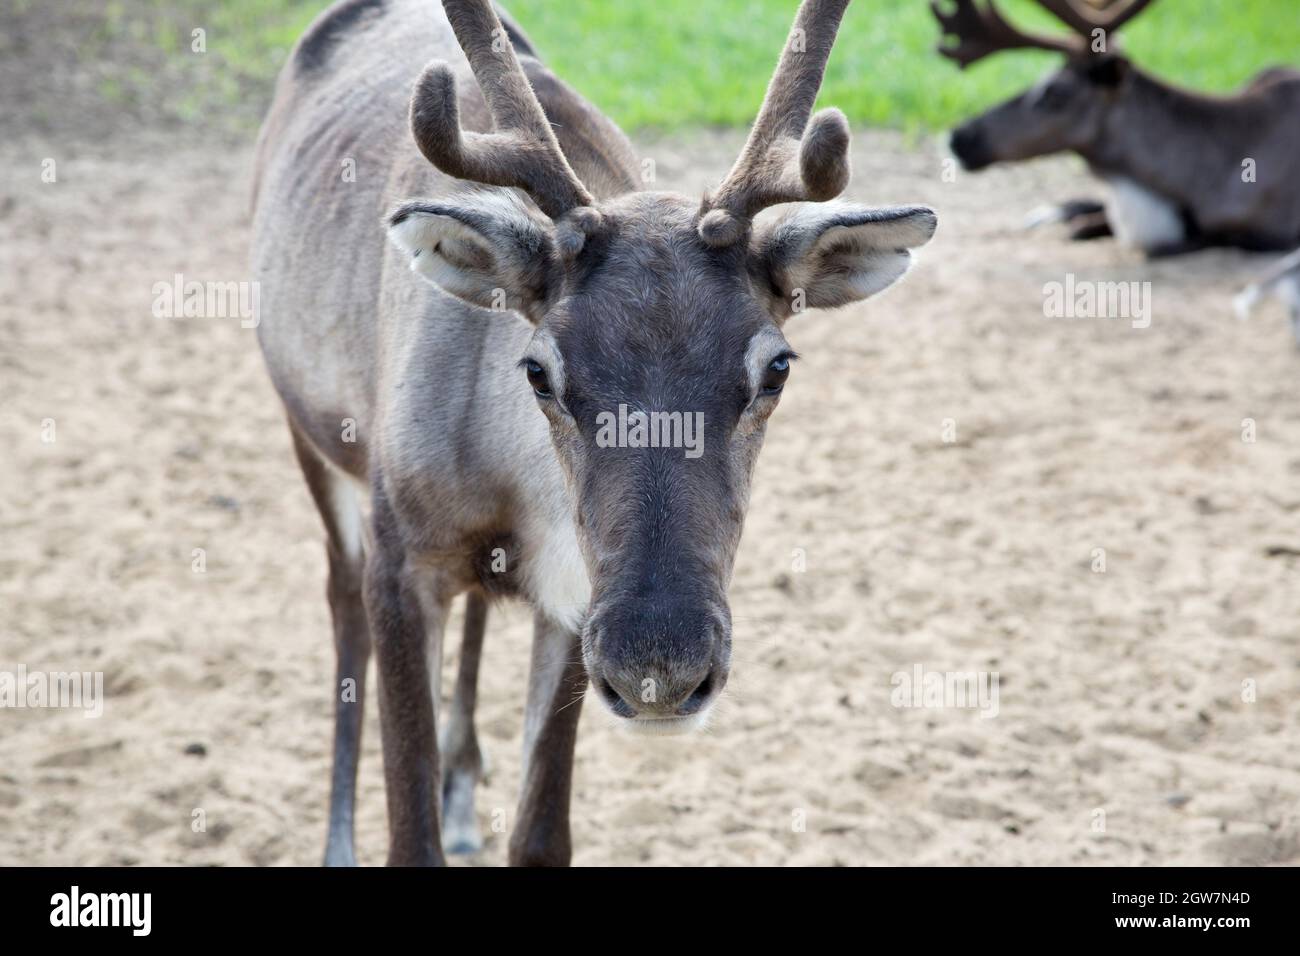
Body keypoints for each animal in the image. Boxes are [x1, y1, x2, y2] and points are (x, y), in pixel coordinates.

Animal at [250, 0, 936, 866]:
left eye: (777, 367)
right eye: (539, 369)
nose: (659, 667)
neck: (517, 492)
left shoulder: (575, 598)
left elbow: (542, 833)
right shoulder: (401, 561)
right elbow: (411, 834)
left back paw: (463, 788)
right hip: (311, 438)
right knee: (341, 607)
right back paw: (341, 836)